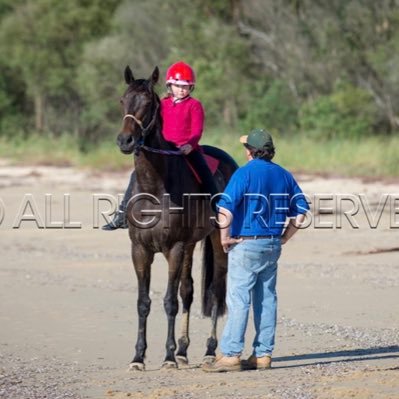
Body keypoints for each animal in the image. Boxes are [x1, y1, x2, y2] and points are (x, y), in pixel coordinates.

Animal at [115, 65, 238, 372]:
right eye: (123, 100)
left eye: (149, 103)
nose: (125, 141)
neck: (155, 188)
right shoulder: (140, 250)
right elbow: (144, 302)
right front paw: (138, 358)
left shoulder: (174, 248)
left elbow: (169, 301)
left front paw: (168, 357)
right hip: (191, 246)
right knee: (189, 292)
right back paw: (184, 350)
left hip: (215, 242)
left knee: (215, 290)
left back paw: (208, 351)